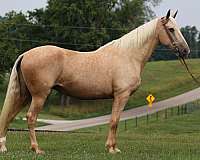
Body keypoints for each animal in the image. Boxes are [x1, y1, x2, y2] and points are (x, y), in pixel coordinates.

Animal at [0, 9, 189, 154]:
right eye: (171, 29)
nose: (185, 51)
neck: (128, 55)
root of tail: (26, 54)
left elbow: (114, 121)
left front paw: (112, 147)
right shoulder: (121, 95)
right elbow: (114, 121)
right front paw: (112, 149)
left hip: (25, 95)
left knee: (9, 116)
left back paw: (4, 146)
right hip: (39, 96)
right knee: (31, 117)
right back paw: (36, 149)